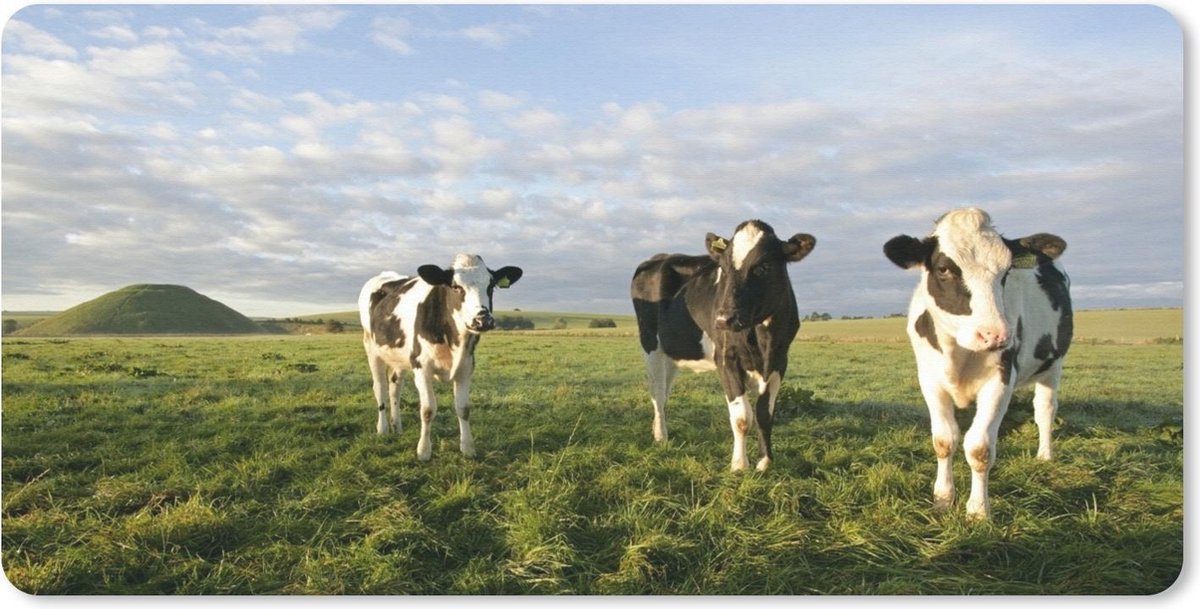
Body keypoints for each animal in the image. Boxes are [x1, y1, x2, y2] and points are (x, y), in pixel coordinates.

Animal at [358, 253, 523, 461]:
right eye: (456, 286)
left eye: (491, 285)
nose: (482, 320)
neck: (454, 341)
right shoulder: (421, 367)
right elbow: (428, 409)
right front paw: (423, 451)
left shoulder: (466, 367)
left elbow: (463, 408)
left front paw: (467, 448)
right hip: (371, 349)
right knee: (380, 387)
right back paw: (383, 429)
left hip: (400, 357)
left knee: (395, 387)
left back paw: (397, 425)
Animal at [631, 220, 817, 471]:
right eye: (724, 268)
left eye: (764, 266)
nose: (723, 319)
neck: (763, 340)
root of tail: (659, 257)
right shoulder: (727, 358)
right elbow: (742, 417)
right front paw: (739, 465)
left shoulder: (779, 360)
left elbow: (764, 414)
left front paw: (765, 462)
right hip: (651, 344)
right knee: (657, 393)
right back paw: (661, 436)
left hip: (672, 353)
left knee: (664, 391)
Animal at [883, 207, 1072, 520]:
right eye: (944, 269)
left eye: (1006, 272)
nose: (995, 335)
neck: (957, 352)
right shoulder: (930, 381)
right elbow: (944, 440)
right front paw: (943, 498)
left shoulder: (1000, 381)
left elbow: (979, 448)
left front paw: (978, 511)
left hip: (1053, 364)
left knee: (1044, 410)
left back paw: (1045, 455)